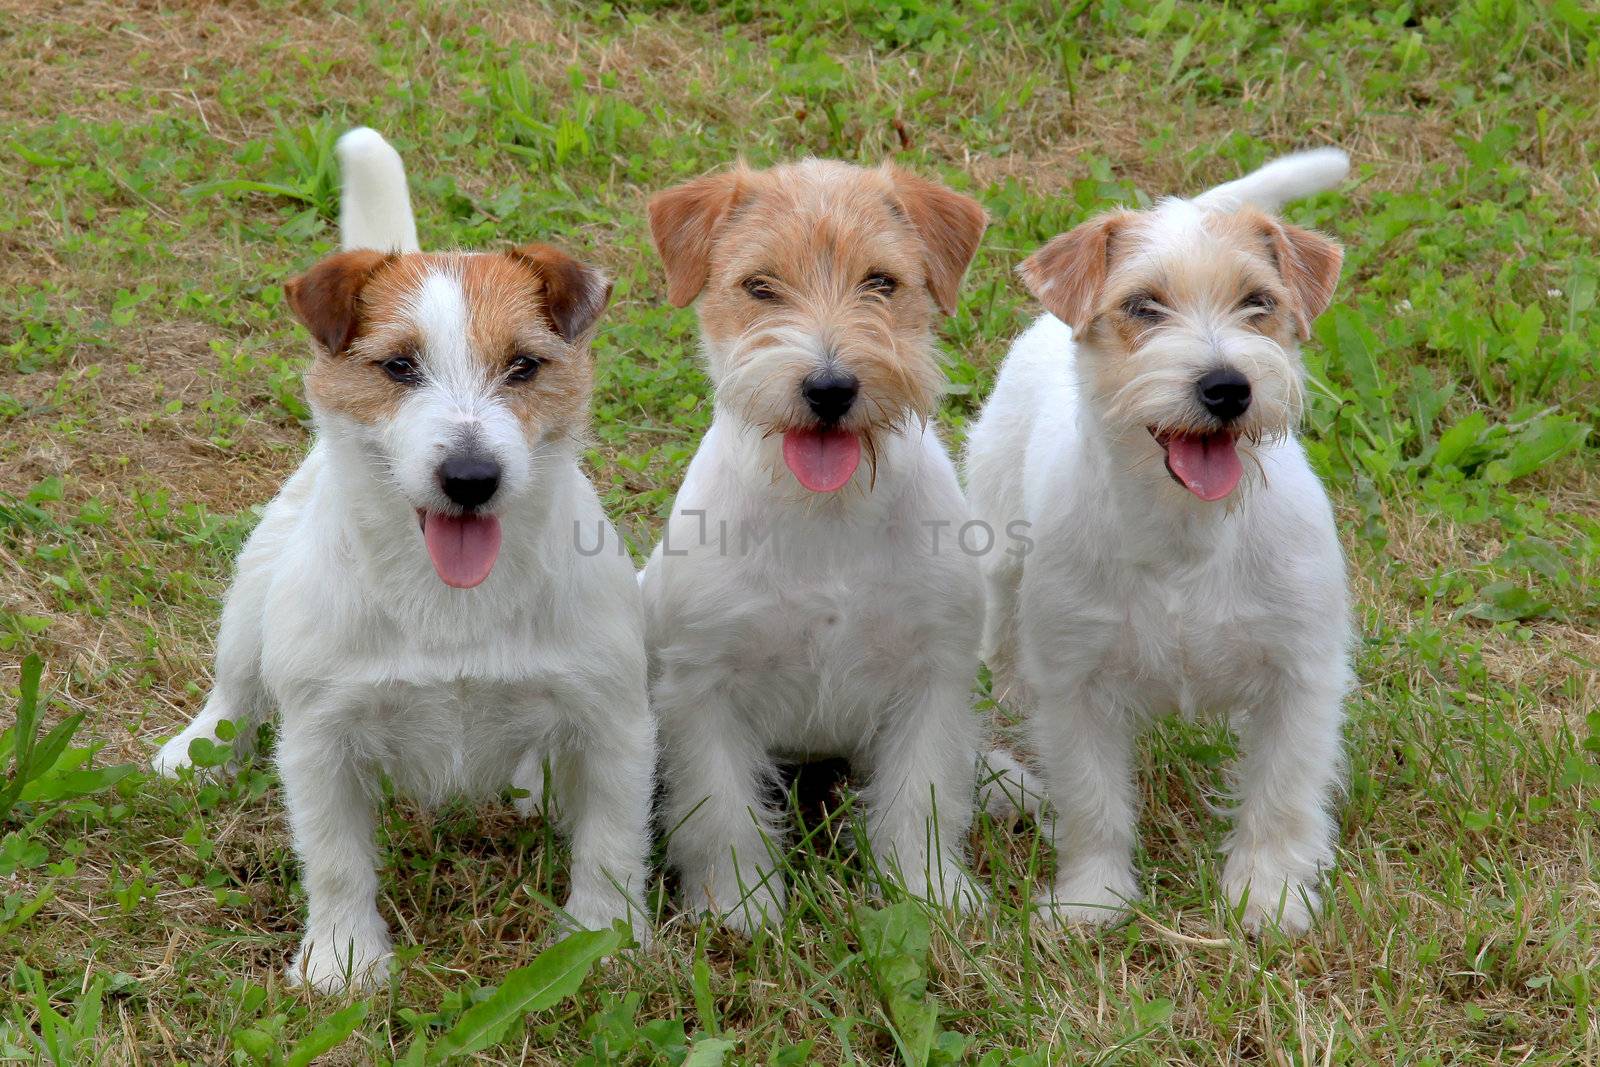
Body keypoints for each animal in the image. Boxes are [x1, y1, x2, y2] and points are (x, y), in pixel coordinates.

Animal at [150, 131, 649, 991]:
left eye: (524, 366)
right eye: (399, 367)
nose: (471, 477)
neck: (451, 598)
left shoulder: (616, 718)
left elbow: (612, 845)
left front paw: (603, 940)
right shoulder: (321, 736)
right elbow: (336, 859)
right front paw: (342, 959)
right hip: (251, 600)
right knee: (235, 688)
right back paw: (196, 750)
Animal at [643, 160, 992, 934]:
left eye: (882, 282)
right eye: (760, 286)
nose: (830, 387)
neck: (826, 513)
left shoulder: (932, 676)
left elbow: (921, 794)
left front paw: (929, 889)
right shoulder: (704, 688)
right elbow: (722, 810)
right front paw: (739, 903)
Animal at [966, 150, 1356, 934]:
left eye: (1258, 302)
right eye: (1143, 306)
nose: (1227, 387)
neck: (1186, 533)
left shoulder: (1301, 675)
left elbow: (1281, 794)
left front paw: (1267, 894)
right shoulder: (1078, 686)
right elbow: (1093, 801)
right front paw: (1093, 898)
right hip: (997, 546)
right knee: (1000, 625)